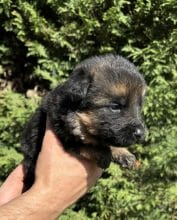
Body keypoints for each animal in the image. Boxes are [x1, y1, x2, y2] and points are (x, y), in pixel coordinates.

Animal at [21, 54, 146, 189]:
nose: (141, 134)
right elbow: (84, 144)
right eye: (115, 106)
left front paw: (123, 153)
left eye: (138, 107)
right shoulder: (65, 134)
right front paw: (103, 152)